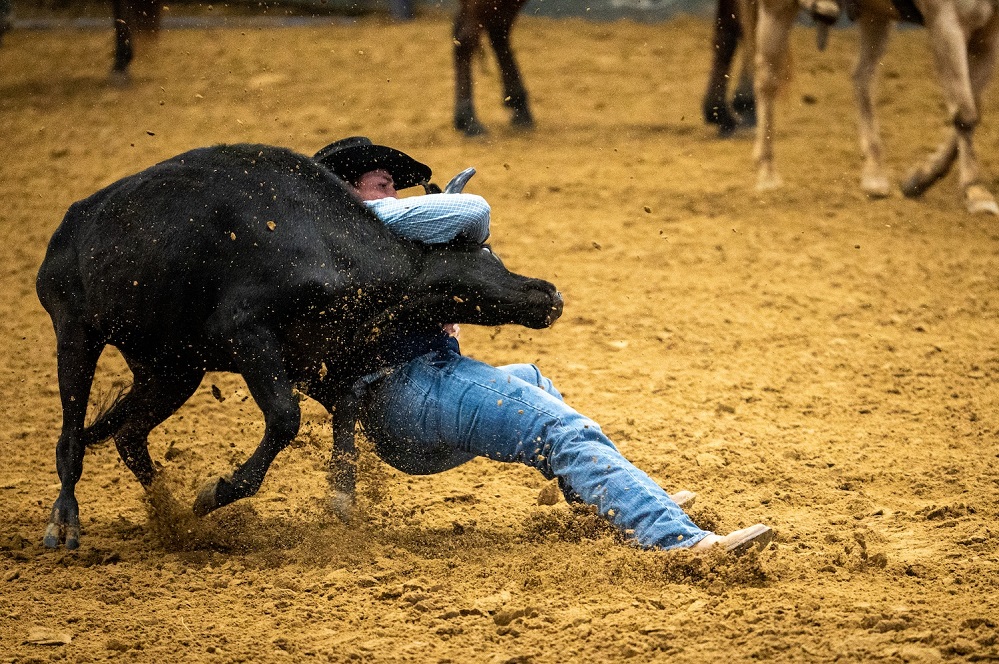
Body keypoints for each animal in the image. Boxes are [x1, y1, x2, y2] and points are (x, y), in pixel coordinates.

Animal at [748, 0, 996, 213]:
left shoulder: (990, 36)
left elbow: (971, 110)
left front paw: (920, 178)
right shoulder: (946, 23)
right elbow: (964, 114)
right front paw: (976, 190)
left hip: (876, 15)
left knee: (862, 77)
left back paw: (874, 172)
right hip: (776, 8)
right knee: (766, 81)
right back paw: (767, 173)